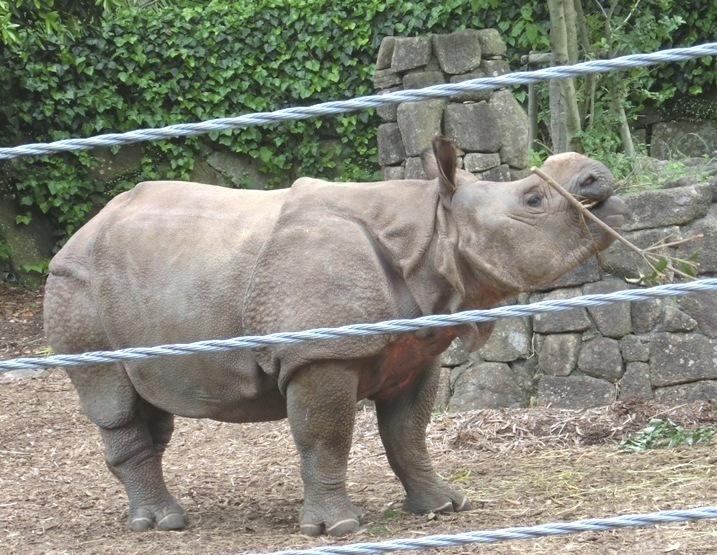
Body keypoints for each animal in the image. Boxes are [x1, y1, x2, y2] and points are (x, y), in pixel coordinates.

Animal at [44, 136, 628, 540]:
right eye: (533, 200)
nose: (598, 178)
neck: (432, 229)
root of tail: (77, 233)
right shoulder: (320, 354)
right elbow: (326, 438)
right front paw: (339, 529)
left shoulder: (416, 347)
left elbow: (408, 434)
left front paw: (443, 506)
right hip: (74, 285)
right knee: (113, 397)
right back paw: (163, 524)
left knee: (151, 402)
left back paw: (157, 514)